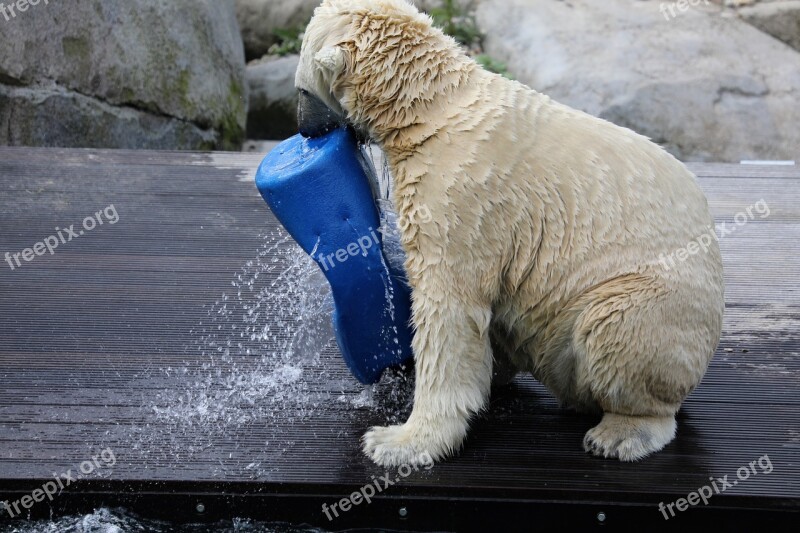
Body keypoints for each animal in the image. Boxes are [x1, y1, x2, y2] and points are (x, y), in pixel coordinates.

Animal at [294, 0, 724, 466]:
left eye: (301, 92)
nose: (303, 130)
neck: (431, 108)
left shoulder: (462, 196)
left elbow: (448, 309)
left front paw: (397, 442)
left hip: (651, 301)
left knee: (614, 325)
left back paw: (620, 433)